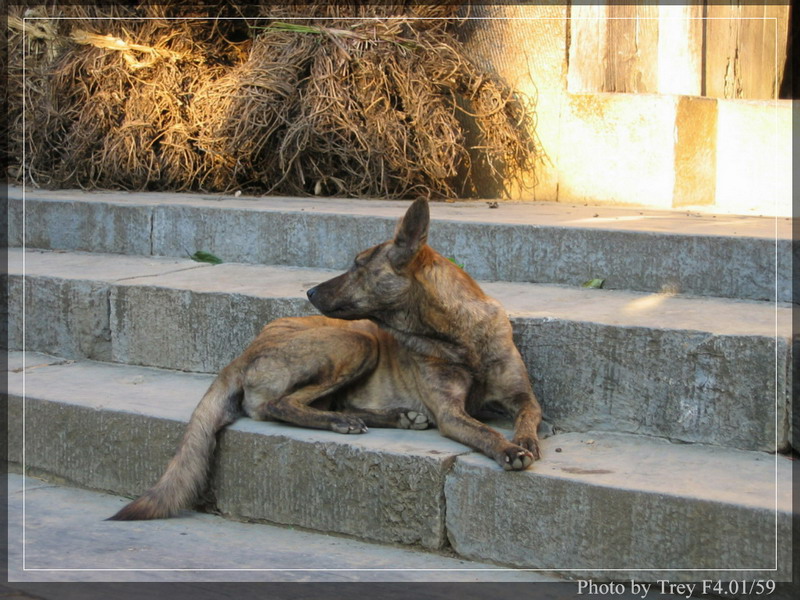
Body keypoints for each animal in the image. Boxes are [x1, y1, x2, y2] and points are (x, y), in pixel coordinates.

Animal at [109, 197, 542, 520]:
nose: (310, 292)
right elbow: (483, 431)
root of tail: (244, 353)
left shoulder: (521, 395)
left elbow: (528, 414)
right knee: (279, 404)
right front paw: (507, 449)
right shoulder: (451, 414)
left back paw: (390, 417)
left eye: (358, 265)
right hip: (355, 341)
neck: (459, 336)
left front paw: (525, 440)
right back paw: (340, 422)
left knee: (321, 403)